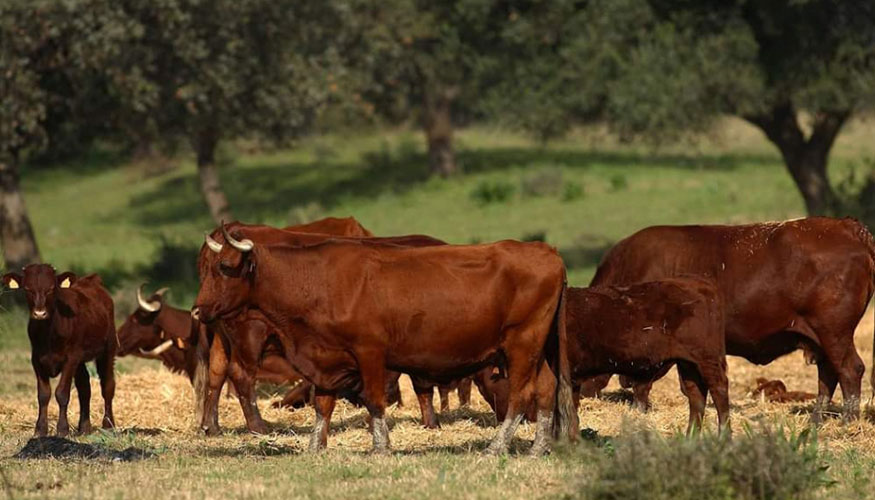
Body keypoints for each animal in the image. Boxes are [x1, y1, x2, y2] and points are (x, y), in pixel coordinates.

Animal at [3, 266, 116, 438]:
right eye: (28, 289)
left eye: (51, 289)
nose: (40, 313)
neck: (48, 333)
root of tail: (91, 280)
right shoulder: (37, 359)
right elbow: (43, 395)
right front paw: (40, 429)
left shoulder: (70, 359)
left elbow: (62, 393)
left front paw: (62, 429)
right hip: (80, 359)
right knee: (84, 387)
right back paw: (84, 428)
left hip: (108, 349)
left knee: (107, 385)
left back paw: (108, 425)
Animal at [192, 227, 576, 454]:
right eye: (206, 269)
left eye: (225, 268)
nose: (197, 310)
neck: (317, 282)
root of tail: (546, 251)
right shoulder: (325, 358)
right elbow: (323, 405)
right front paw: (315, 447)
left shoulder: (370, 352)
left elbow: (375, 401)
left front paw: (381, 447)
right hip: (539, 349)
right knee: (546, 388)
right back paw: (538, 447)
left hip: (522, 344)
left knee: (521, 394)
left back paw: (496, 447)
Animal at [588, 216, 875, 422]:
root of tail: (848, 227)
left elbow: (642, 384)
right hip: (820, 339)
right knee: (828, 374)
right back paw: (816, 419)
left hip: (833, 333)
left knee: (850, 369)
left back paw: (848, 421)